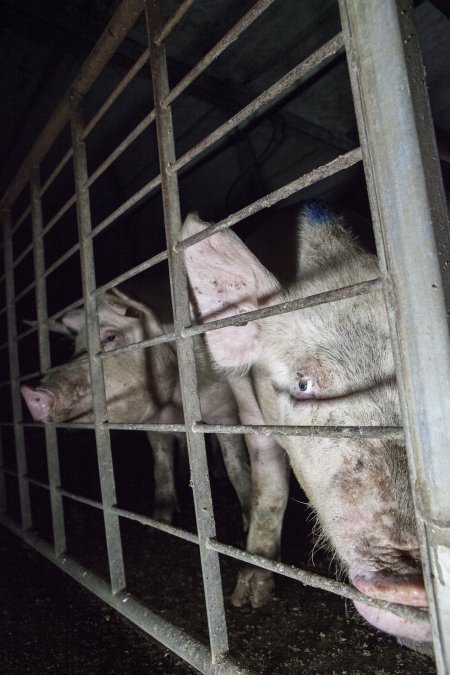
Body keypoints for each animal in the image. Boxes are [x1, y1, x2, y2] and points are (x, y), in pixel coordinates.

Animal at [21, 288, 251, 532]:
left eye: (111, 337)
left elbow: (235, 464)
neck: (174, 405)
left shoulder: (224, 409)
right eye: (75, 347)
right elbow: (161, 468)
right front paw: (159, 523)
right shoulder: (154, 426)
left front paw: (247, 529)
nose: (29, 392)